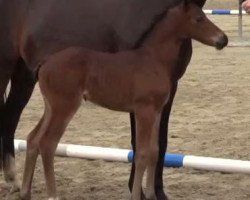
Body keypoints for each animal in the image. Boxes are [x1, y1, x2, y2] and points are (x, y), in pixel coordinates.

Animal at [20, 0, 228, 199]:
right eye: (199, 19)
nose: (223, 39)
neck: (153, 60)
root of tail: (45, 62)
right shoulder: (144, 111)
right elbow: (142, 153)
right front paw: (137, 195)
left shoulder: (157, 111)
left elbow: (154, 151)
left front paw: (151, 194)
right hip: (64, 107)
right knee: (47, 144)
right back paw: (52, 195)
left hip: (50, 108)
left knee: (33, 139)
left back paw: (25, 192)